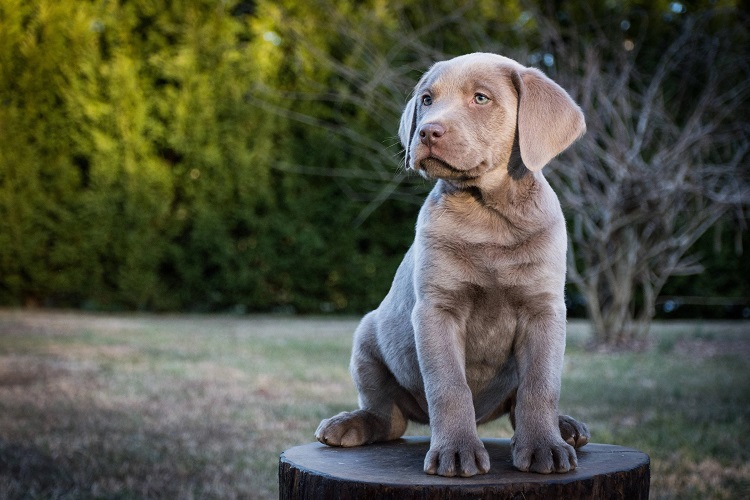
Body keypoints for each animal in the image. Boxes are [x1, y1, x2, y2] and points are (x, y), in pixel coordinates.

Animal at [314, 52, 592, 478]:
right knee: (387, 417)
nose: (426, 132)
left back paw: (564, 428)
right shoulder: (436, 310)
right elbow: (449, 386)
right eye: (427, 99)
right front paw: (457, 452)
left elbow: (540, 386)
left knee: (516, 406)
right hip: (366, 337)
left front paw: (545, 447)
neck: (488, 214)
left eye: (481, 98)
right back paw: (349, 424)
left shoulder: (544, 310)